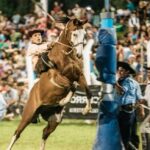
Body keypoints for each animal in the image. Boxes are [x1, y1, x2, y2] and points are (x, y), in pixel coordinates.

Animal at [7, 18, 92, 150]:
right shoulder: (60, 78)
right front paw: (65, 100)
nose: (79, 54)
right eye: (74, 34)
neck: (64, 56)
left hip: (54, 120)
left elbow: (87, 90)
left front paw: (86, 109)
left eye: (84, 34)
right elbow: (72, 85)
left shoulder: (80, 75)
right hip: (28, 114)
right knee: (17, 133)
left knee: (44, 133)